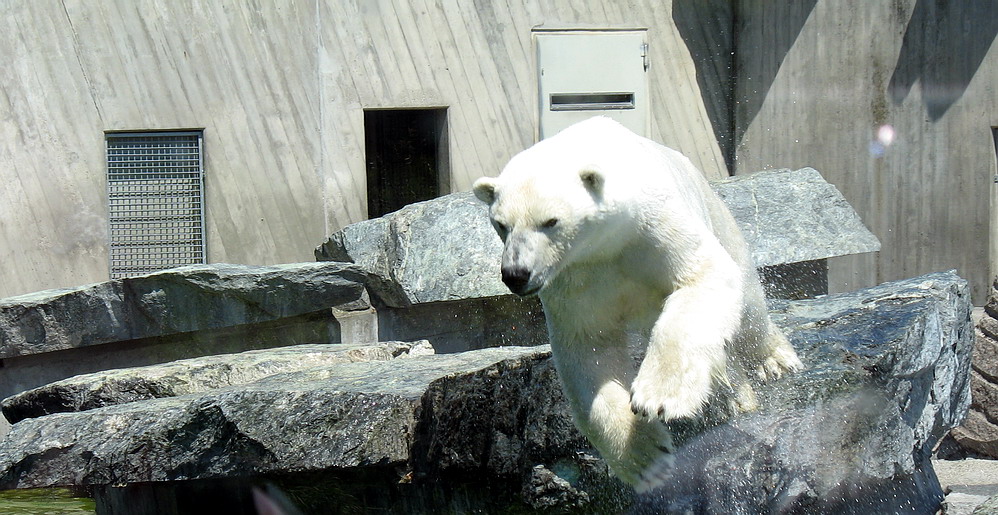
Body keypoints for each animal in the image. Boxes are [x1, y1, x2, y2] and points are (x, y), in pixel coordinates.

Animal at [472, 117, 808, 492]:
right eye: (501, 224)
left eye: (550, 221)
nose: (516, 274)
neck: (606, 244)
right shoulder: (575, 278)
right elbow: (589, 350)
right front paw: (648, 459)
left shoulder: (651, 225)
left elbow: (701, 276)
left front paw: (660, 399)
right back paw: (729, 394)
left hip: (717, 216)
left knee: (747, 304)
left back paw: (772, 363)